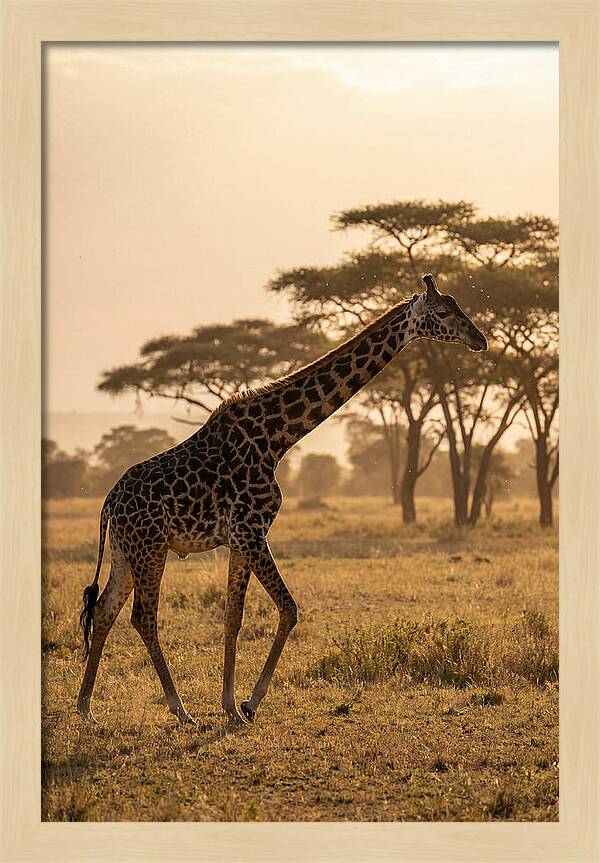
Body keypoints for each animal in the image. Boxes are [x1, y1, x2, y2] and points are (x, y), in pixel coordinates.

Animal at [77, 273, 487, 725]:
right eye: (444, 312)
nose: (480, 340)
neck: (277, 438)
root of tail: (109, 502)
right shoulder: (251, 531)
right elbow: (289, 609)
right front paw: (250, 702)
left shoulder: (240, 539)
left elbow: (233, 617)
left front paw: (230, 706)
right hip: (151, 547)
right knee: (142, 617)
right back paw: (179, 709)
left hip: (125, 552)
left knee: (104, 609)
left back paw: (85, 706)